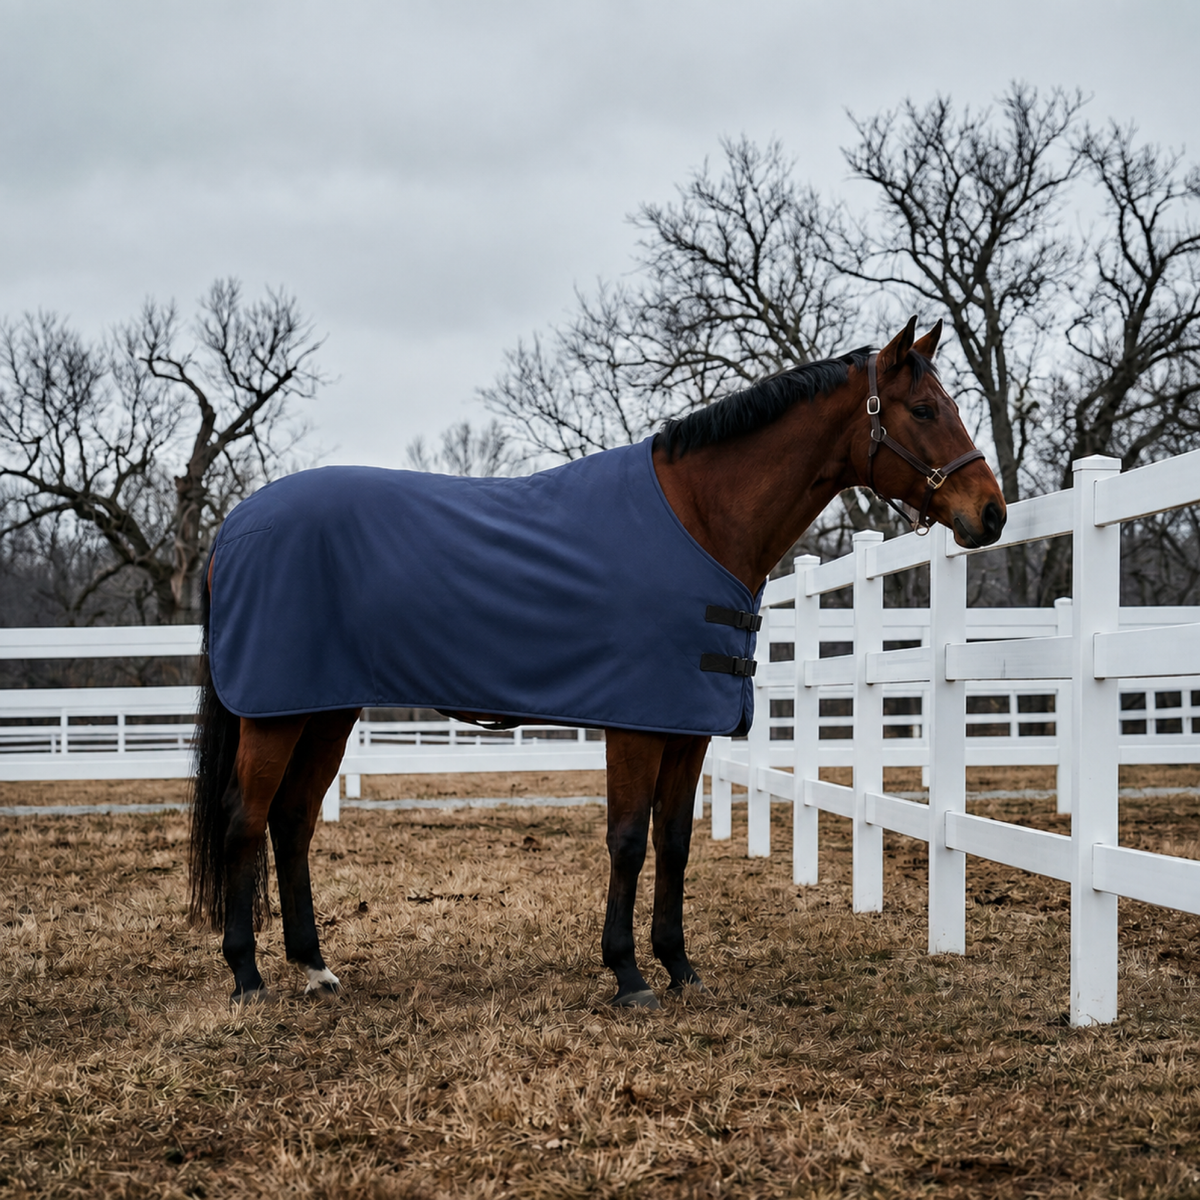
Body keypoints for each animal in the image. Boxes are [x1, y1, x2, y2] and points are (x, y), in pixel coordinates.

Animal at [188, 316, 1006, 1008]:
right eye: (924, 410)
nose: (991, 512)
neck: (699, 519)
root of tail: (235, 526)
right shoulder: (636, 723)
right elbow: (628, 840)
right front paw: (628, 975)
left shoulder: (687, 727)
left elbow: (673, 843)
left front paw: (679, 967)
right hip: (275, 715)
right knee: (245, 820)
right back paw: (247, 977)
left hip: (322, 710)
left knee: (292, 821)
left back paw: (314, 967)